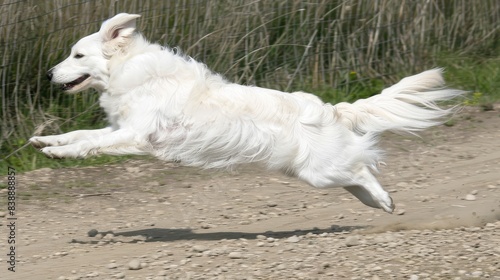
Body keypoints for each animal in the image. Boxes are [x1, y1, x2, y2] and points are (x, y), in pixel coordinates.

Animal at [30, 13, 464, 212]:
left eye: (77, 55)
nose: (48, 74)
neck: (131, 71)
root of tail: (334, 110)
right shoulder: (119, 129)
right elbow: (81, 136)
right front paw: (45, 143)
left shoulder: (136, 135)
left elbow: (86, 145)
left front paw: (60, 152)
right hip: (317, 174)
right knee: (358, 179)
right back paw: (379, 204)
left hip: (323, 171)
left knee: (362, 171)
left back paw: (385, 200)